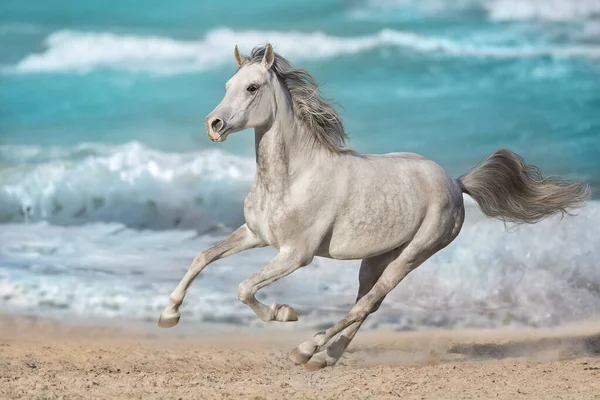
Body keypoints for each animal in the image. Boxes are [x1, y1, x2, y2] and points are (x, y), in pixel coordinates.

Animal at [157, 43, 588, 372]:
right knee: (369, 303)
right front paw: (169, 315)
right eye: (227, 85)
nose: (214, 125)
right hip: (376, 258)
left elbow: (245, 287)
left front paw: (284, 313)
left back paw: (307, 350)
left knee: (367, 302)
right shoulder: (255, 235)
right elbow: (202, 257)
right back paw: (324, 357)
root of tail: (456, 183)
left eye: (251, 87)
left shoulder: (295, 255)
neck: (293, 177)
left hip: (412, 256)